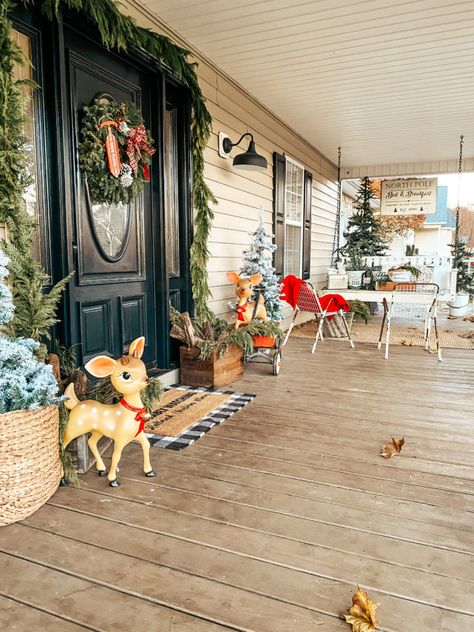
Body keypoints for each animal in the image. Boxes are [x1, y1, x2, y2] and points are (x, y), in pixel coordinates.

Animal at [62, 338, 156, 486]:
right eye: (126, 375)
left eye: (142, 366)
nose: (146, 380)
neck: (129, 412)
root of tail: (77, 404)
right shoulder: (119, 438)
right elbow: (116, 456)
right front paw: (113, 480)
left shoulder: (138, 433)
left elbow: (146, 445)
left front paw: (149, 471)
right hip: (73, 428)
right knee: (62, 445)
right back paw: (63, 479)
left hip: (97, 431)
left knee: (91, 442)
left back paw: (102, 470)